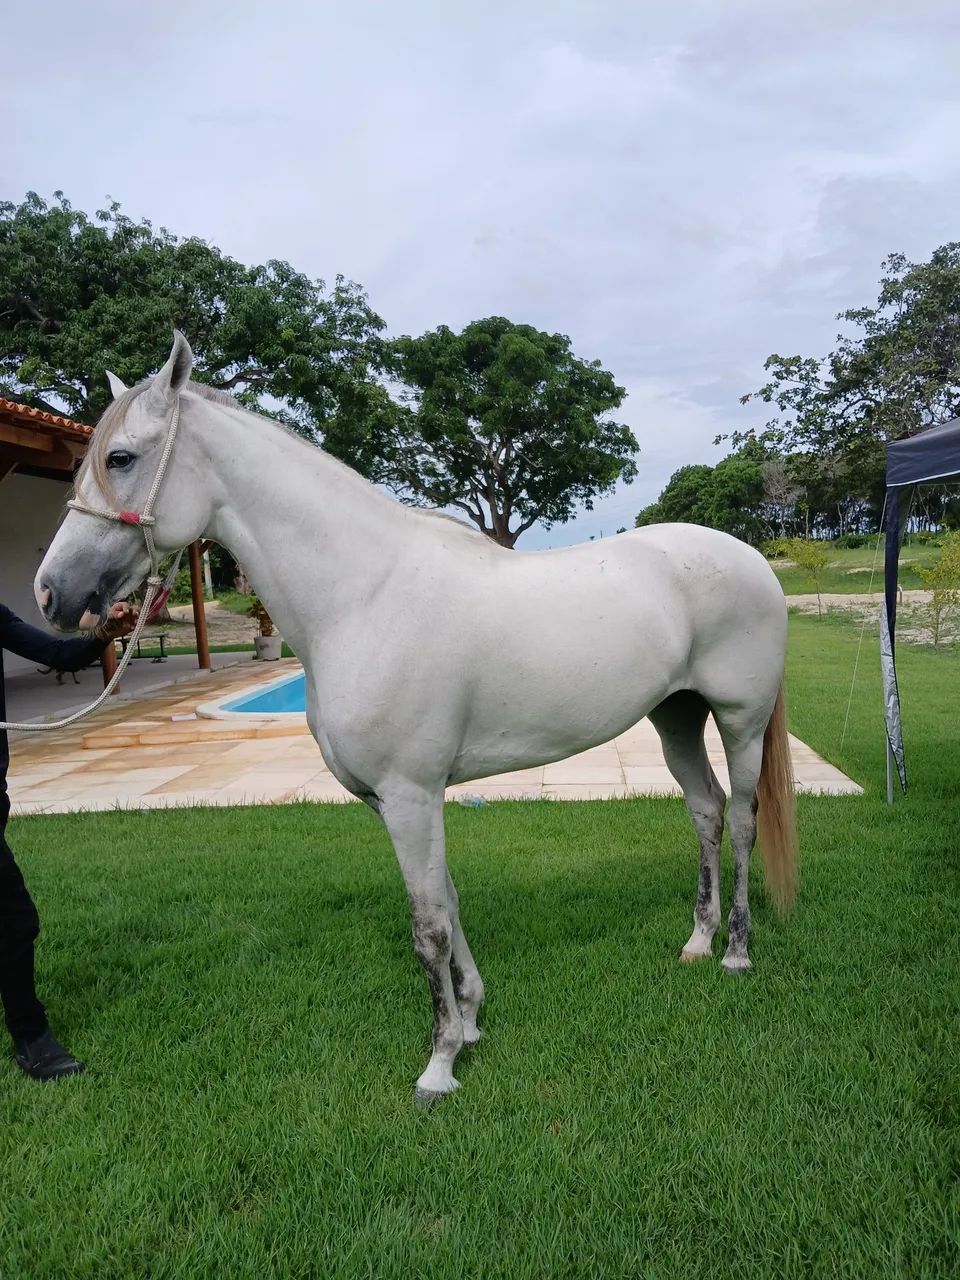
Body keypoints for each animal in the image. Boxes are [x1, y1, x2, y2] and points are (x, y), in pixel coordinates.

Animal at [35, 332, 797, 1102]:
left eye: (120, 457)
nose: (52, 593)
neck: (363, 595)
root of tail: (751, 558)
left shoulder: (409, 796)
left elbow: (426, 925)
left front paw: (440, 1062)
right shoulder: (396, 801)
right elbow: (449, 901)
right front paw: (472, 1019)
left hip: (739, 719)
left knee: (739, 817)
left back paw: (736, 950)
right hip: (675, 718)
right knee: (703, 810)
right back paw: (697, 942)